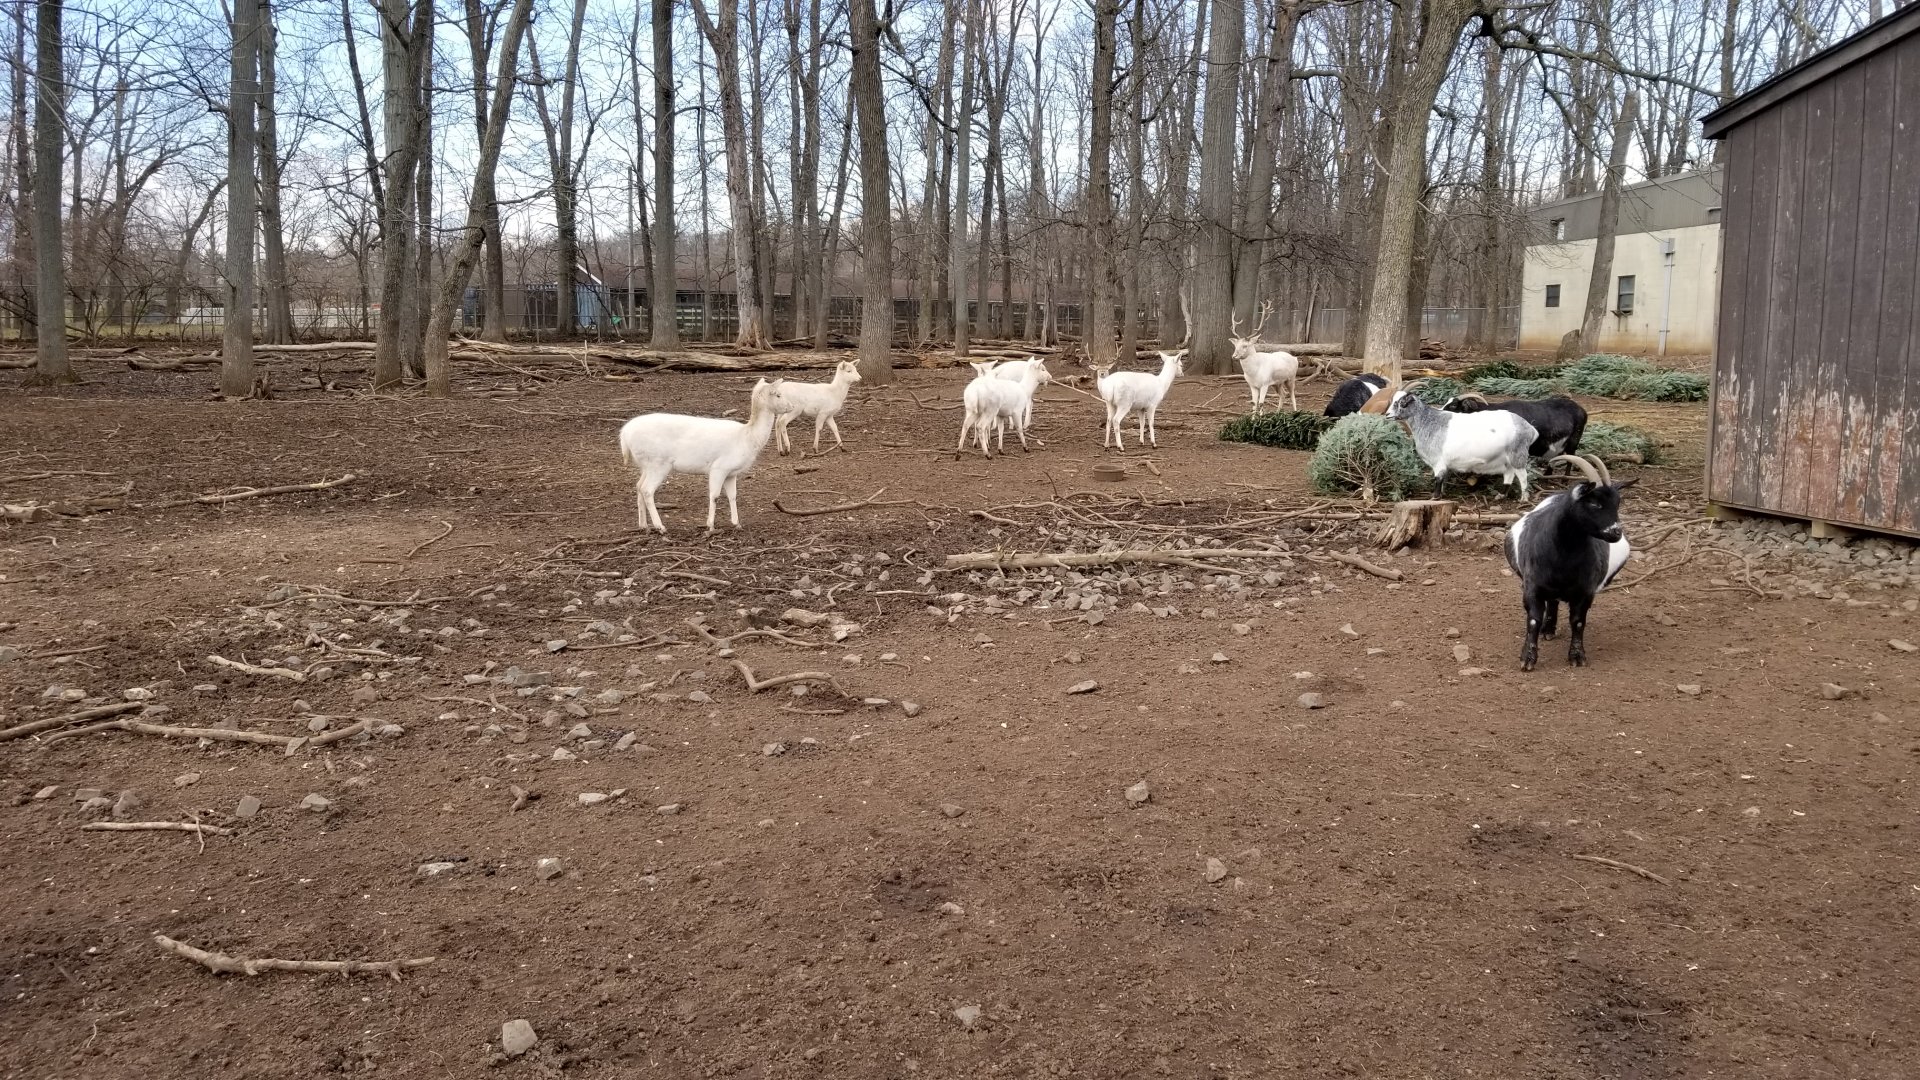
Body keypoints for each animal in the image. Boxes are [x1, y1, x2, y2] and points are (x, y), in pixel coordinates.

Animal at [617, 378, 791, 533]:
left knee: (638, 486)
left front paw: (737, 524)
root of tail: (624, 435)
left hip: (646, 464)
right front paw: (711, 526)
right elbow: (714, 496)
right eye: (778, 395)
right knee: (647, 490)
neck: (747, 437)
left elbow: (733, 496)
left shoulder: (731, 472)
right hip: (658, 463)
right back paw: (660, 527)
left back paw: (643, 525)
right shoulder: (719, 467)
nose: (791, 406)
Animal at [1386, 384, 1539, 500]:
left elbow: (1438, 479)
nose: (1387, 415)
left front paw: (1435, 497)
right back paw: (1501, 495)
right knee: (1509, 474)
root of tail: (1530, 429)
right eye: (1393, 400)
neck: (1428, 422)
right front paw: (1442, 494)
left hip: (1517, 454)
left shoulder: (1438, 461)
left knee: (1522, 475)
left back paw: (1523, 499)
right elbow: (1443, 479)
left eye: (1402, 403)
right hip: (1506, 458)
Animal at [1504, 454, 1637, 670]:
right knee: (1552, 601)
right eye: (1594, 503)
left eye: (1618, 503)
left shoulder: (1586, 591)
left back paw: (1550, 629)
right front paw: (1528, 659)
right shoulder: (1532, 587)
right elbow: (1533, 620)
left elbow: (1578, 621)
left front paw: (1577, 656)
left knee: (1554, 601)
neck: (1563, 559)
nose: (1616, 532)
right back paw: (1548, 629)